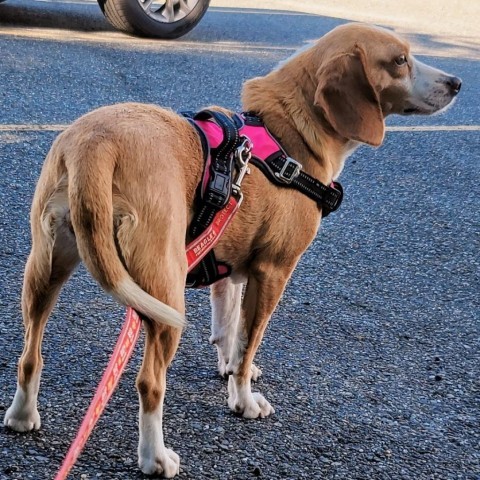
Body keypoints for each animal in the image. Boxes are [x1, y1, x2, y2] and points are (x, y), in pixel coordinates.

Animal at [4, 22, 462, 476]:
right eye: (400, 60)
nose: (456, 83)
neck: (290, 133)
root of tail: (97, 143)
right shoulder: (273, 272)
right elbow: (250, 339)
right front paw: (242, 399)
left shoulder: (230, 272)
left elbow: (231, 328)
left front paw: (227, 365)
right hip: (165, 294)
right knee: (149, 383)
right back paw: (155, 457)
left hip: (45, 271)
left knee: (30, 355)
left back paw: (23, 416)